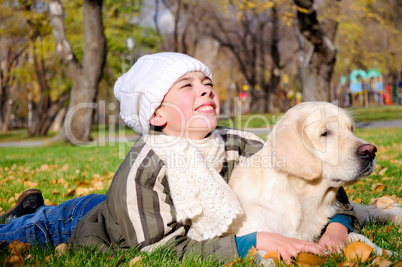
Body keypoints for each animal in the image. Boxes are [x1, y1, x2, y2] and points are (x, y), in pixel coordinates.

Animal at [229, 102, 402, 262]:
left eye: (351, 129)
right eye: (325, 133)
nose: (370, 151)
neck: (301, 198)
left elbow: (361, 240)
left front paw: (391, 255)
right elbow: (265, 255)